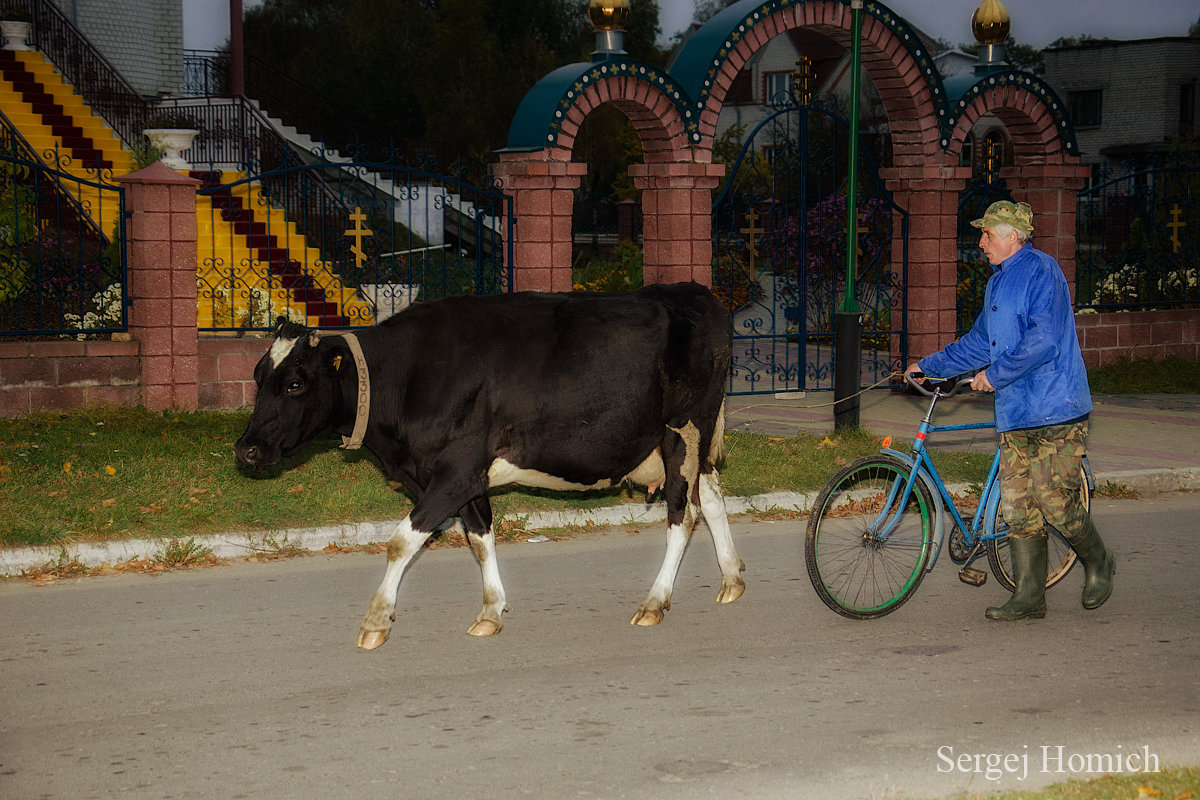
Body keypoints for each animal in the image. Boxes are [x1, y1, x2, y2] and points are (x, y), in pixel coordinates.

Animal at [232, 281, 739, 652]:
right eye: (258, 376)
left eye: (295, 383)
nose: (246, 449)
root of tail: (691, 291)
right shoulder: (464, 478)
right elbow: (479, 538)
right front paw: (491, 612)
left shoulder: (455, 472)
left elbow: (400, 543)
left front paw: (377, 620)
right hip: (691, 444)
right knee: (712, 498)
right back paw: (732, 578)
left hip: (683, 433)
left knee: (684, 514)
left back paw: (655, 602)